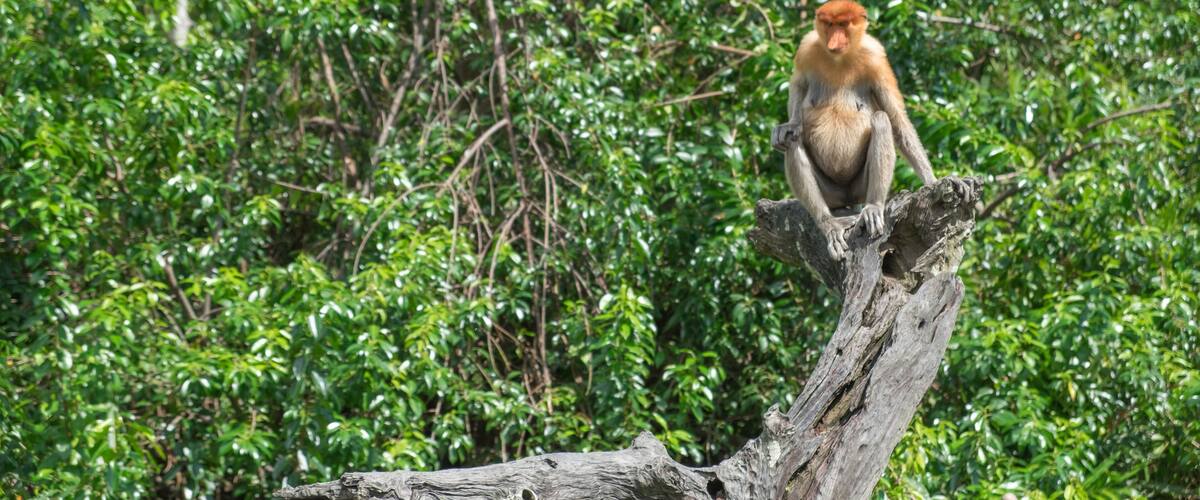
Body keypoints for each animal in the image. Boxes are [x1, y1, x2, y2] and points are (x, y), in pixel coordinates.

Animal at [771, 0, 967, 259]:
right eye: (830, 24)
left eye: (843, 24)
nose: (834, 41)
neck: (839, 59)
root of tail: (847, 195)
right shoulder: (806, 48)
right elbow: (798, 85)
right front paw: (789, 125)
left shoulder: (877, 58)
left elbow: (897, 119)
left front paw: (935, 181)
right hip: (831, 193)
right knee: (794, 141)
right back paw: (828, 224)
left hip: (859, 187)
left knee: (882, 120)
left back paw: (873, 207)